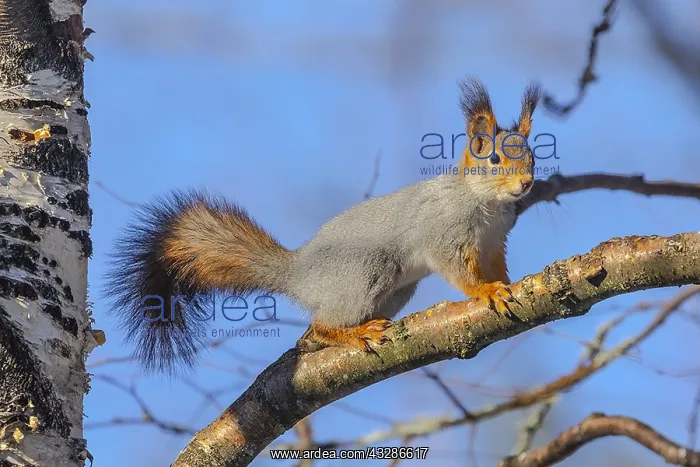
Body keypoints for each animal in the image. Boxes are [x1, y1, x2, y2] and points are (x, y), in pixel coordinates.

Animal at [104, 77, 541, 374]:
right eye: (494, 160)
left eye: (533, 155)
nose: (526, 184)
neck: (484, 203)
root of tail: (299, 274)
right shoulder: (443, 233)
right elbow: (457, 270)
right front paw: (484, 291)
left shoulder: (494, 241)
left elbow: (497, 265)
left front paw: (506, 283)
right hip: (366, 270)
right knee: (321, 325)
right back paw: (355, 333)